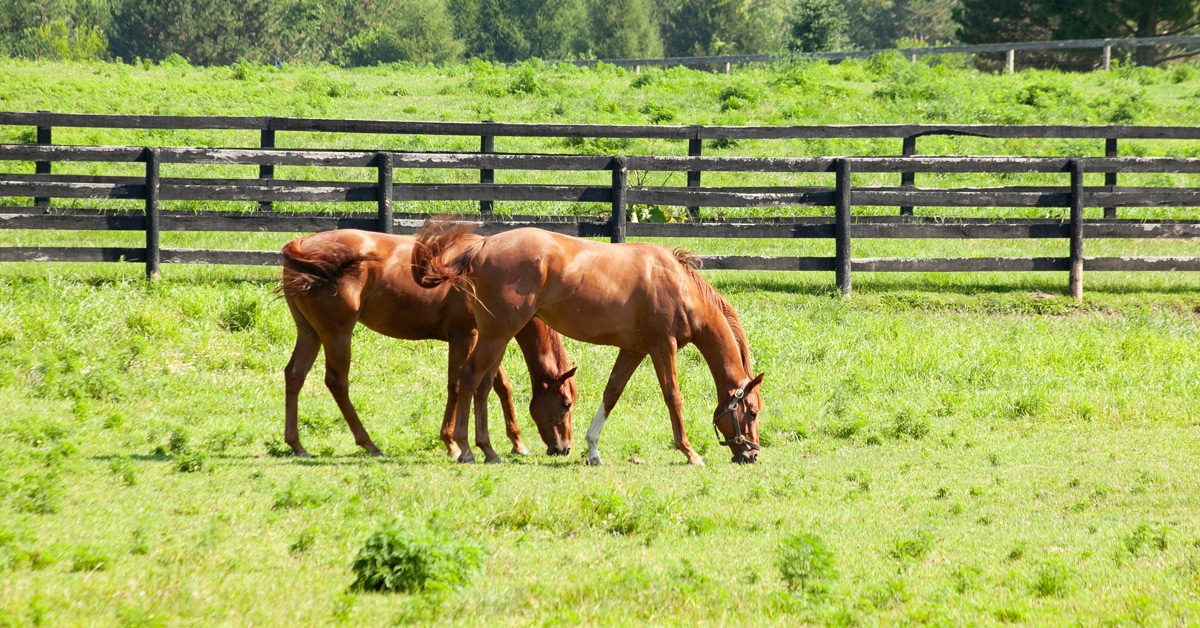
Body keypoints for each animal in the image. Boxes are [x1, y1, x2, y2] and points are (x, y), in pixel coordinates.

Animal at [280, 229, 577, 462]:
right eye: (566, 403)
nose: (564, 448)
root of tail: (301, 243)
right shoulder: (465, 336)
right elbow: (457, 385)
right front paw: (453, 444)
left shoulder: (488, 337)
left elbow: (501, 386)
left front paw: (517, 443)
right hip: (337, 333)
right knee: (337, 382)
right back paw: (370, 444)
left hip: (310, 333)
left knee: (294, 375)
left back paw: (297, 445)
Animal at [412, 223, 764, 465]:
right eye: (752, 412)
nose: (752, 455)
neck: (678, 285)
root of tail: (482, 246)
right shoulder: (663, 347)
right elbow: (673, 398)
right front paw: (690, 452)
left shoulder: (634, 350)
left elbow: (612, 394)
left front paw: (593, 449)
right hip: (496, 334)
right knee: (469, 379)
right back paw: (465, 449)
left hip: (496, 337)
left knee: (483, 386)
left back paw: (488, 450)